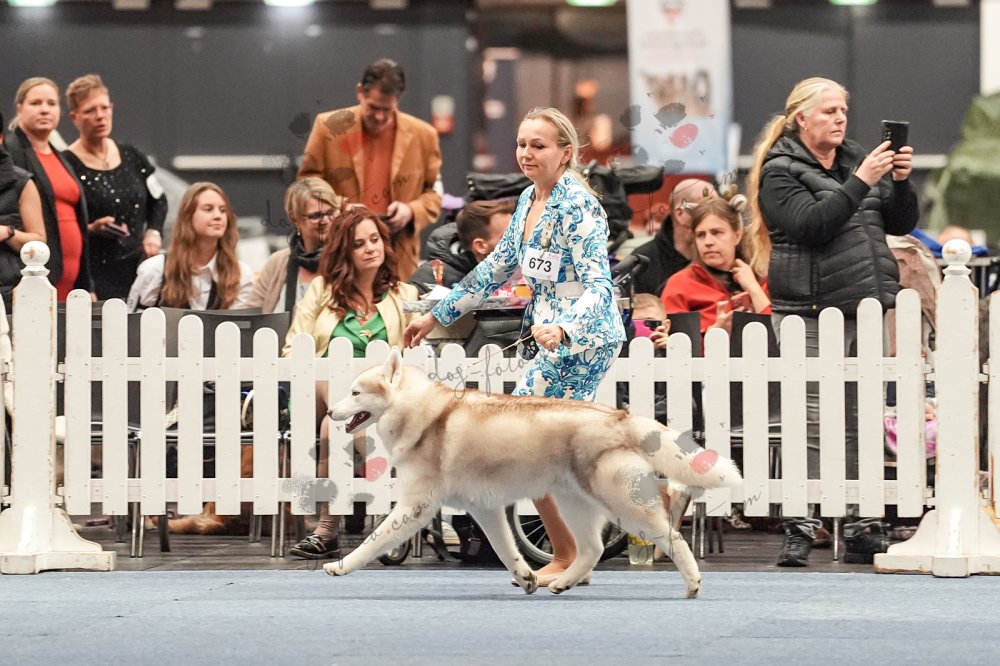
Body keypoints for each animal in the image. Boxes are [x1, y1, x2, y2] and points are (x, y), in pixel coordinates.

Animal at [323, 348, 742, 597]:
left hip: (623, 506)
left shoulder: (415, 507)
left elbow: (372, 542)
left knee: (673, 536)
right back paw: (562, 582)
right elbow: (506, 550)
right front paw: (525, 578)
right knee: (591, 549)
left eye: (355, 393)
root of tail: (619, 417)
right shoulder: (485, 509)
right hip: (573, 503)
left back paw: (692, 582)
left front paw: (340, 566)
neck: (419, 412)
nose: (328, 411)